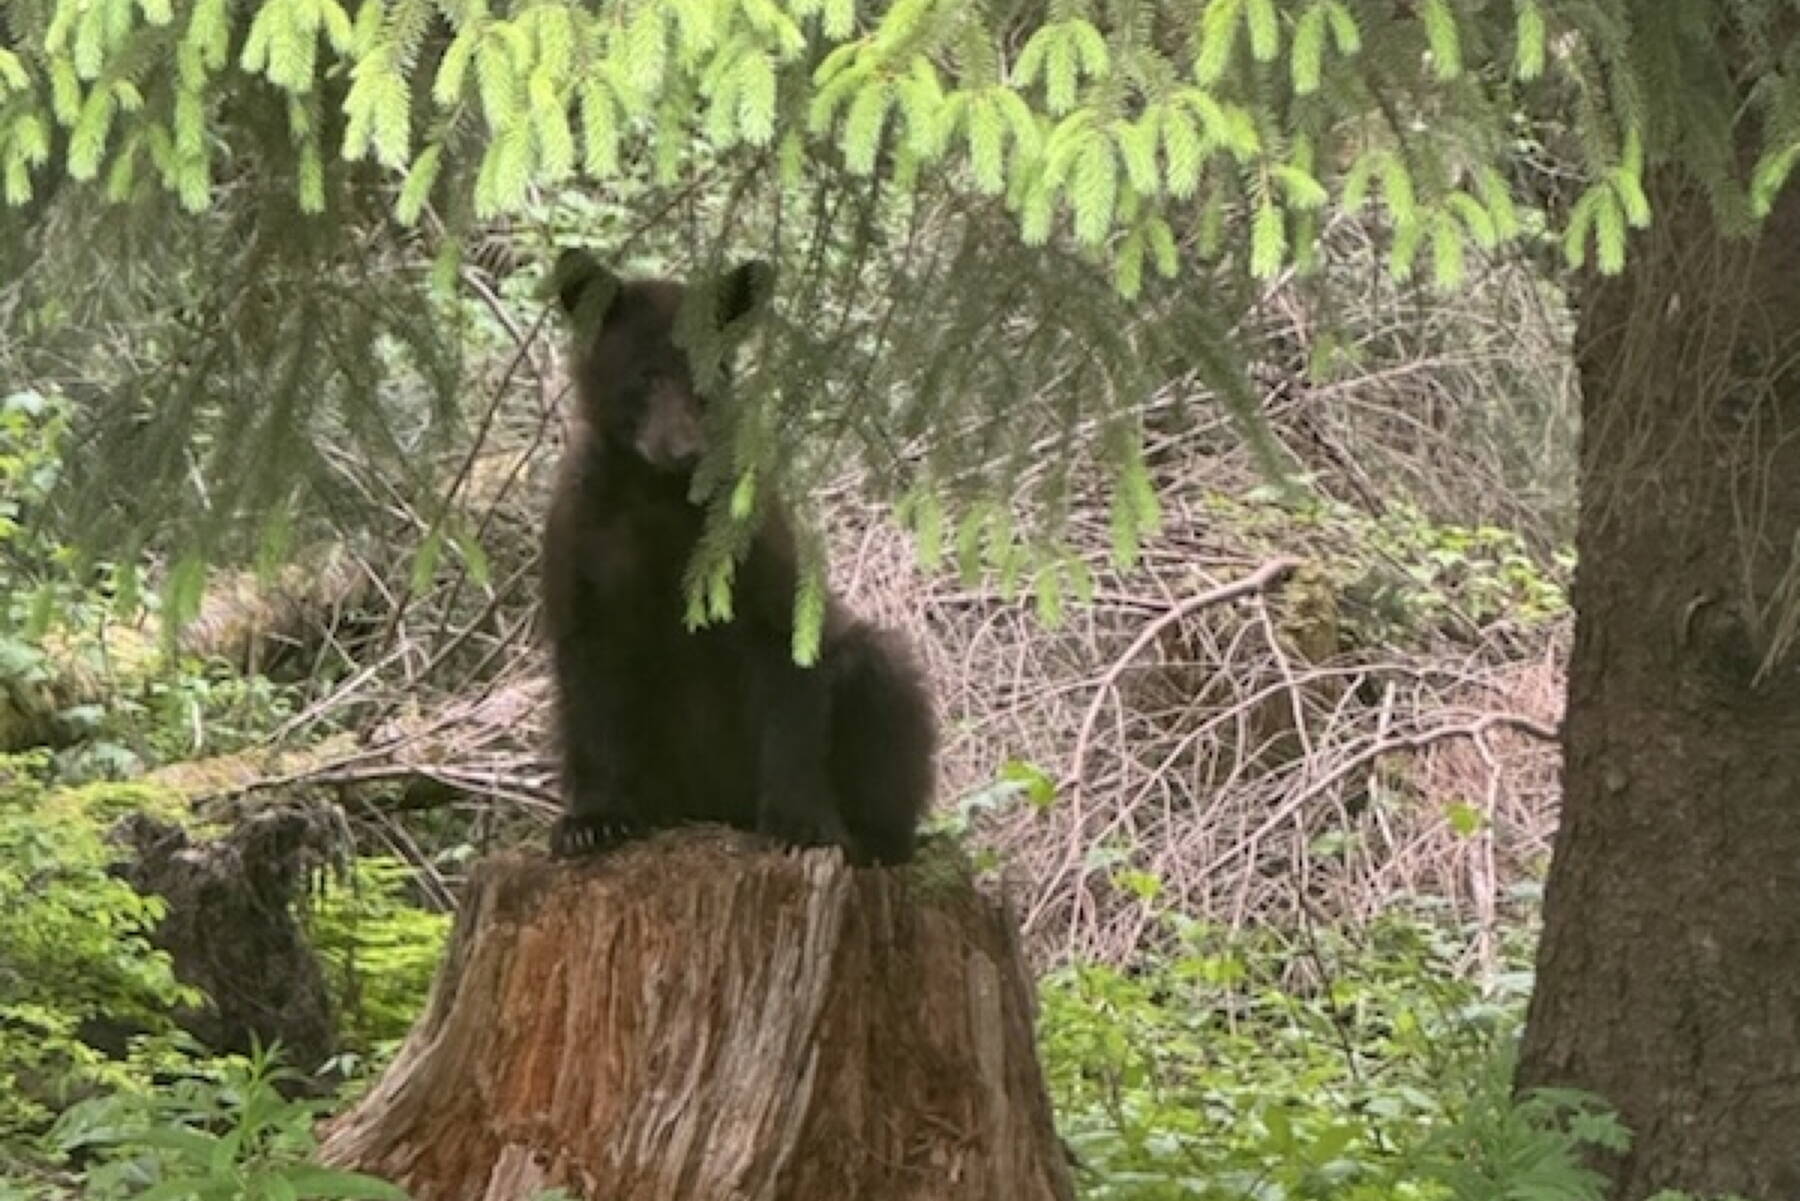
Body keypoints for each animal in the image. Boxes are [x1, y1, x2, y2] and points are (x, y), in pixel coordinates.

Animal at [536, 248, 936, 867]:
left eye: (710, 374)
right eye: (646, 375)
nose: (686, 451)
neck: (658, 493)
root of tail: (718, 809)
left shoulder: (745, 543)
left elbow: (787, 661)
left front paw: (801, 823)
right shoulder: (586, 544)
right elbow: (591, 681)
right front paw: (591, 822)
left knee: (885, 688)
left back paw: (876, 836)